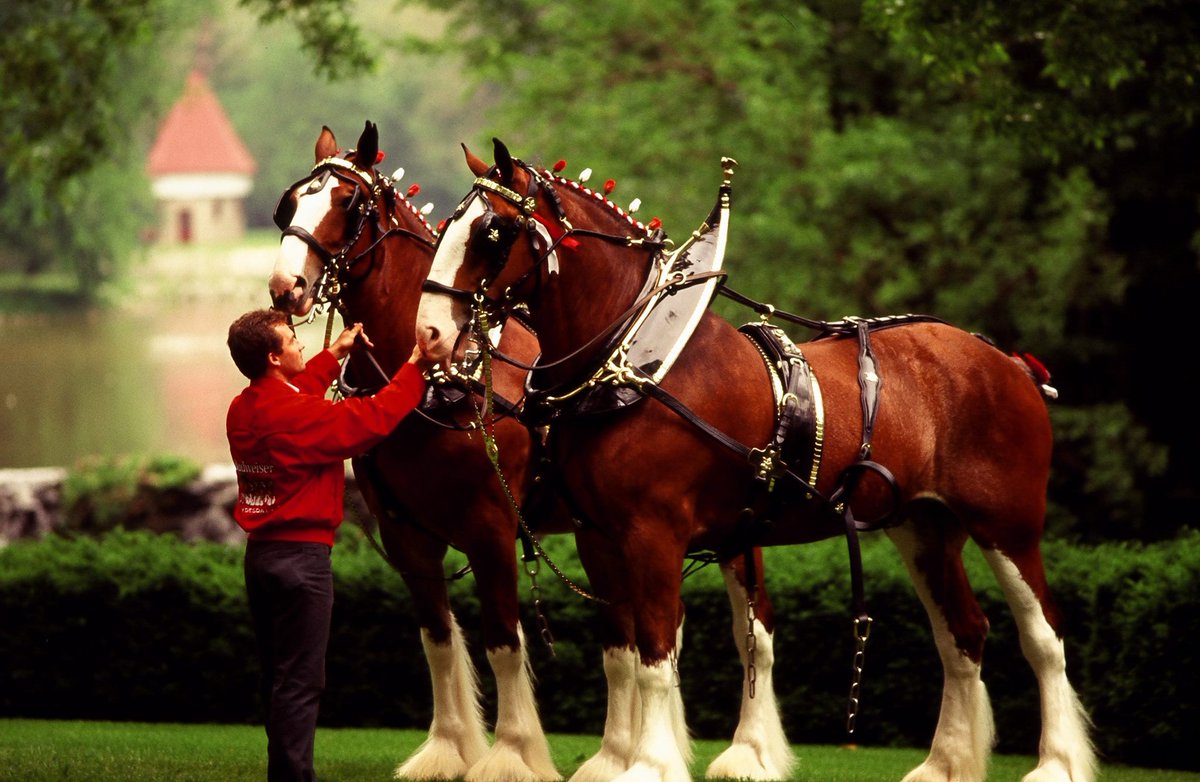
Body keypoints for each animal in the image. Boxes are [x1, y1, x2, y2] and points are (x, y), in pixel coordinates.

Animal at [268, 123, 795, 782]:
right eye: (289, 204)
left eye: (348, 204)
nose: (286, 288)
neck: (439, 382)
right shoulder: (406, 535)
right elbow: (438, 639)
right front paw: (448, 747)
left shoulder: (491, 528)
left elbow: (503, 640)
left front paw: (512, 752)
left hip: (734, 532)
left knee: (754, 633)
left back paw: (750, 752)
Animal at [414, 138, 1097, 782]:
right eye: (448, 225)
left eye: (492, 232)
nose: (429, 336)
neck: (635, 361)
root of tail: (1007, 362)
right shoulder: (599, 537)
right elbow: (624, 653)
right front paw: (614, 760)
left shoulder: (654, 533)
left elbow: (656, 654)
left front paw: (651, 763)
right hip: (924, 527)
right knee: (963, 636)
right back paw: (946, 763)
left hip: (1006, 525)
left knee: (1044, 637)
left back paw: (1057, 763)